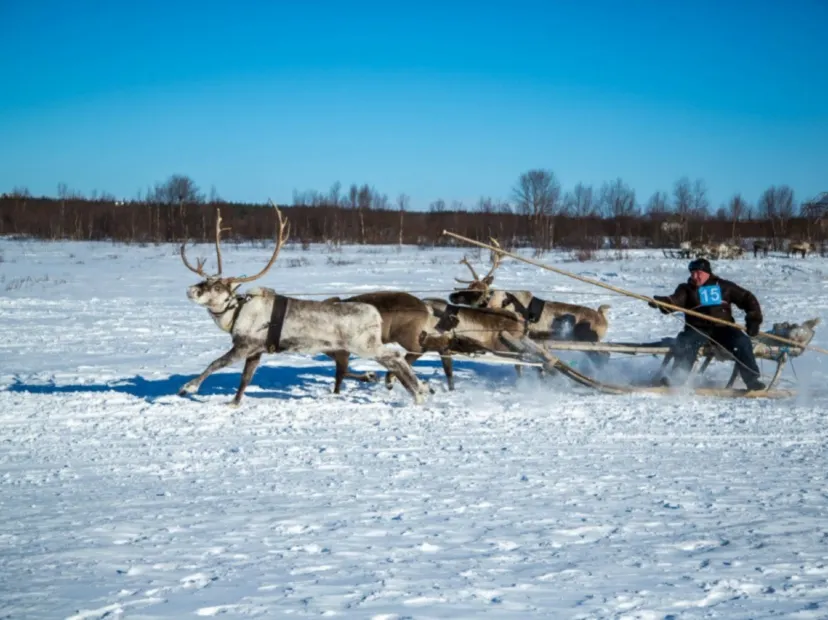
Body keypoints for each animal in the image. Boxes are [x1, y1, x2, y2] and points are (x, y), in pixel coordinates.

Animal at [178, 202, 428, 406]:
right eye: (205, 281)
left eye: (218, 287)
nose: (190, 290)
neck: (237, 312)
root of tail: (376, 314)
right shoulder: (255, 352)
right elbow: (244, 380)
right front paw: (234, 403)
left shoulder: (245, 346)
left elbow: (215, 363)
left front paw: (188, 387)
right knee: (394, 361)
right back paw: (417, 391)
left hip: (365, 346)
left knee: (395, 356)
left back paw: (418, 391)